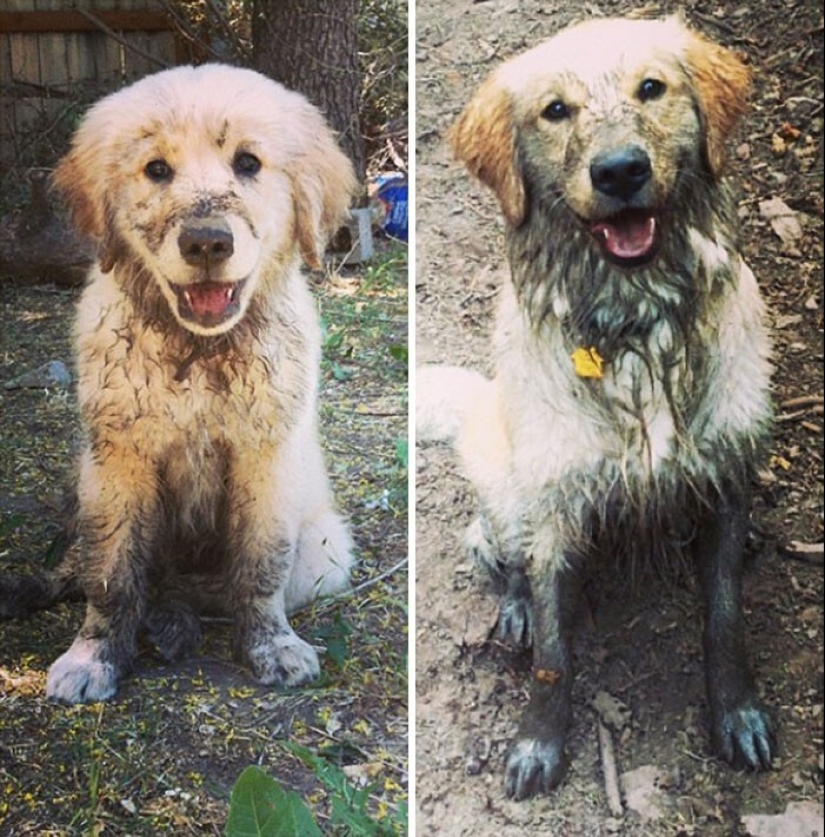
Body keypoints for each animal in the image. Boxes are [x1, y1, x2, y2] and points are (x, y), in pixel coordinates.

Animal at [3, 65, 358, 704]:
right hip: (80, 480)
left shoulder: (266, 459)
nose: (207, 243)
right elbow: (110, 573)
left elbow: (259, 566)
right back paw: (31, 589)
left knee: (200, 588)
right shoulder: (117, 460)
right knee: (82, 566)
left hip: (326, 552)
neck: (198, 350)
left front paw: (271, 645)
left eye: (248, 163)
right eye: (157, 169)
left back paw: (174, 619)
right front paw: (94, 655)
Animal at [416, 13, 776, 796]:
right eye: (556, 110)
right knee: (497, 556)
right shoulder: (553, 501)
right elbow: (554, 655)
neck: (636, 326)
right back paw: (515, 609)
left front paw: (736, 712)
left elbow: (724, 617)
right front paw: (539, 742)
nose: (619, 170)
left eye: (652, 88)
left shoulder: (725, 472)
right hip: (505, 485)